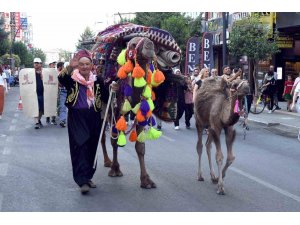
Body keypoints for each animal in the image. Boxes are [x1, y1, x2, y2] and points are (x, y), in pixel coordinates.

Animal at [90, 22, 182, 188]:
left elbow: (140, 146)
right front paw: (115, 169)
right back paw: (107, 162)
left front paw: (146, 180)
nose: (149, 46)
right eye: (133, 44)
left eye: (155, 46)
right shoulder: (116, 110)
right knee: (102, 135)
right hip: (102, 107)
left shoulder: (141, 113)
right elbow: (115, 140)